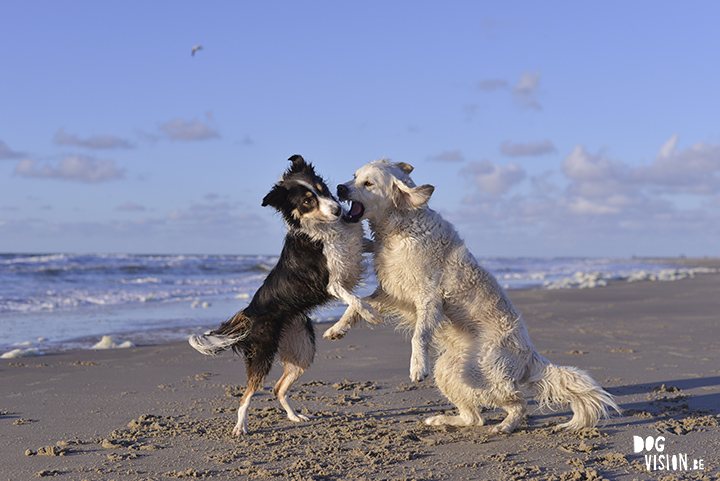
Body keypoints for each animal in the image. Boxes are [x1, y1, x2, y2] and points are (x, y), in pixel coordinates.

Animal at [188, 155, 376, 436]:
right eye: (307, 201)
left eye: (322, 189)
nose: (337, 210)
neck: (325, 230)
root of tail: (248, 313)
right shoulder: (330, 282)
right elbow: (353, 297)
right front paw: (369, 313)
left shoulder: (356, 247)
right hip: (263, 354)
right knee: (246, 395)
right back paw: (240, 426)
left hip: (302, 350)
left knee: (278, 388)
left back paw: (294, 416)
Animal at [326, 159, 620, 434]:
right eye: (353, 176)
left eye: (368, 183)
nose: (339, 188)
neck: (399, 225)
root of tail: (530, 355)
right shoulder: (392, 292)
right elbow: (359, 306)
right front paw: (338, 328)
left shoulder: (429, 298)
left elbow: (418, 334)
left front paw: (417, 366)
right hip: (449, 369)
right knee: (474, 417)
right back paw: (442, 420)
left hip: (485, 372)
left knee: (518, 402)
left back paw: (505, 425)